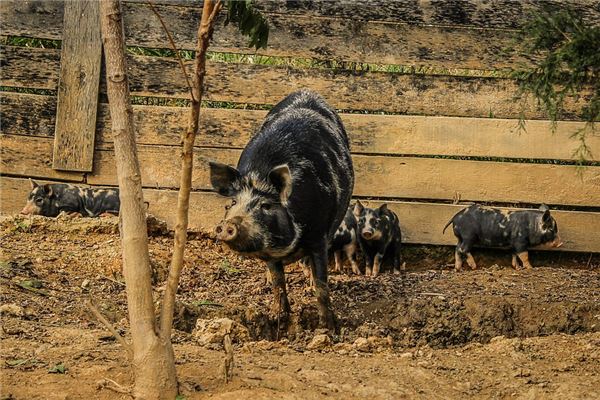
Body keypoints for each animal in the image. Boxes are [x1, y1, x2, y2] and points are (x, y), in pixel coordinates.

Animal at [210, 90, 354, 328]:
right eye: (232, 203)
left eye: (266, 205)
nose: (229, 224)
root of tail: (306, 91)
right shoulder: (271, 254)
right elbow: (279, 283)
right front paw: (278, 318)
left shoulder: (319, 236)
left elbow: (322, 285)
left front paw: (329, 328)